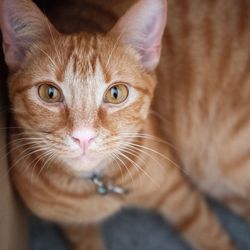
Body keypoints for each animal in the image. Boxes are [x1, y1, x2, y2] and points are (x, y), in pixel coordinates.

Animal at [0, 0, 249, 249]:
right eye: (49, 93)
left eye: (116, 93)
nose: (83, 136)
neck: (97, 186)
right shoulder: (74, 224)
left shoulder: (180, 196)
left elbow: (213, 238)